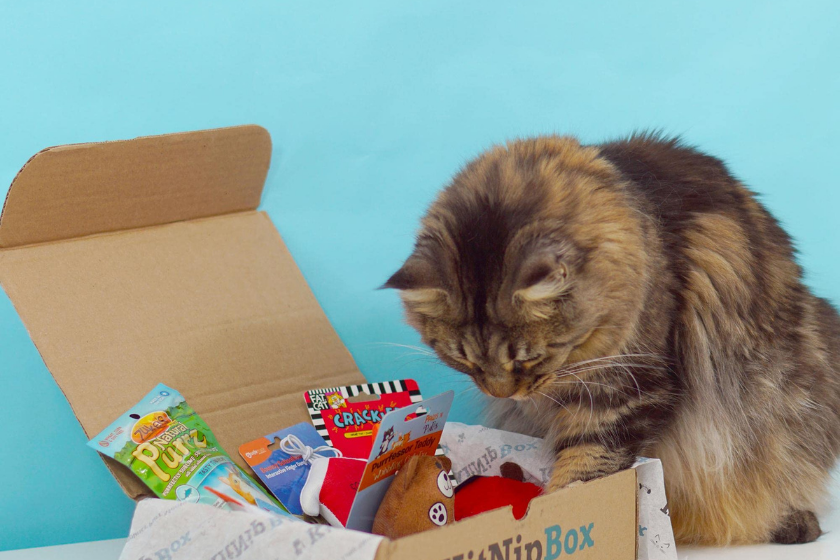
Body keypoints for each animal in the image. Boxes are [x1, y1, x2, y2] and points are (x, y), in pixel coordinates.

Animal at [386, 133, 840, 544]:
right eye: (465, 362)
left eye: (527, 360)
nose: (503, 394)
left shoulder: (624, 391)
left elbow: (585, 466)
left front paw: (556, 508)